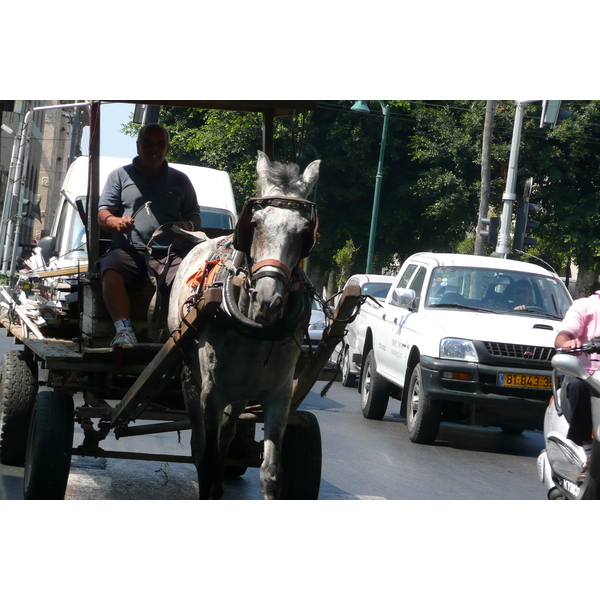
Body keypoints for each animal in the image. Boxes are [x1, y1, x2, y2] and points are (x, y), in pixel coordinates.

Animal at [166, 152, 322, 500]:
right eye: (256, 224)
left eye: (305, 232)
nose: (268, 301)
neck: (255, 328)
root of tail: (200, 239)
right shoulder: (212, 393)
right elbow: (208, 459)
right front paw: (209, 484)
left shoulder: (279, 395)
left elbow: (271, 473)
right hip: (191, 377)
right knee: (201, 445)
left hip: (240, 394)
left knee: (227, 436)